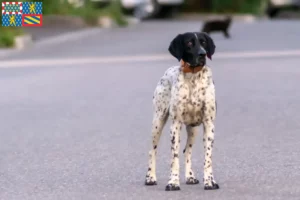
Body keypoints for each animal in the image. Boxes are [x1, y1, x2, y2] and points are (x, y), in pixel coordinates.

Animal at [144, 31, 219, 191]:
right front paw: (173, 182)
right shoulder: (175, 125)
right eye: (189, 43)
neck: (193, 77)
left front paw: (209, 181)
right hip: (158, 122)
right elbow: (174, 158)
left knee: (187, 151)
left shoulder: (209, 124)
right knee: (152, 150)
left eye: (203, 42)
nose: (202, 54)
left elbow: (208, 158)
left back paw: (190, 176)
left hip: (193, 129)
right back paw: (150, 178)